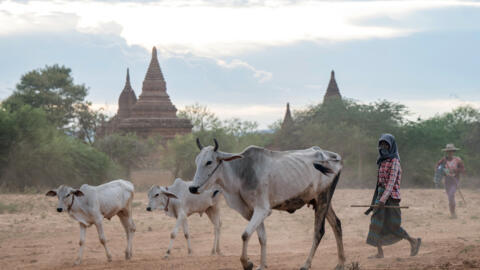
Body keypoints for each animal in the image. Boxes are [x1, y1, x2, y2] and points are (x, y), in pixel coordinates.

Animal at [188, 139, 344, 270]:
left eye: (209, 162)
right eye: (196, 161)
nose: (193, 188)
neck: (241, 172)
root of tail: (333, 156)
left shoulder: (262, 210)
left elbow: (245, 235)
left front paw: (247, 263)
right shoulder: (252, 211)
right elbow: (262, 238)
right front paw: (262, 265)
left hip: (323, 198)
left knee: (319, 231)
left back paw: (306, 264)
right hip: (322, 202)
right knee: (336, 224)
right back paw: (340, 263)